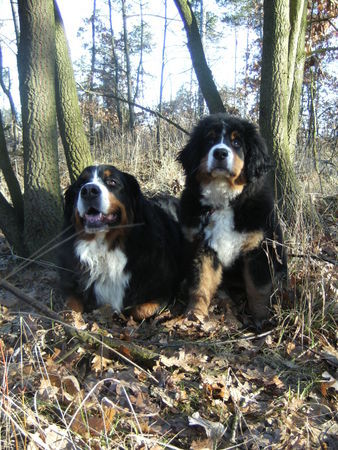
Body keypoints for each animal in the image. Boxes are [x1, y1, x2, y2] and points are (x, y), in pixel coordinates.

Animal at [59, 163, 184, 318]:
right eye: (81, 183)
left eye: (112, 182)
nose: (88, 190)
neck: (105, 247)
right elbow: (70, 307)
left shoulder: (164, 289)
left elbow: (140, 310)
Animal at [178, 112, 286, 324]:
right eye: (210, 139)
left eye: (236, 142)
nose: (220, 153)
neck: (224, 202)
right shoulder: (203, 246)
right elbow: (201, 283)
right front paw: (195, 314)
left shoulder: (258, 248)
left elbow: (258, 289)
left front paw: (262, 319)